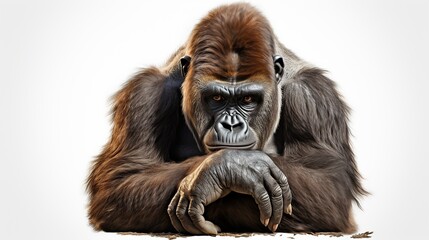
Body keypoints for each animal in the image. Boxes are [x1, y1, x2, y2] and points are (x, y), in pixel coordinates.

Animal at [86, 2, 364, 234]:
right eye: (217, 98)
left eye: (248, 99)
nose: (231, 125)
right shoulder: (144, 93)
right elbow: (121, 181)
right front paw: (229, 168)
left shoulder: (313, 95)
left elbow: (329, 185)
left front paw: (225, 170)